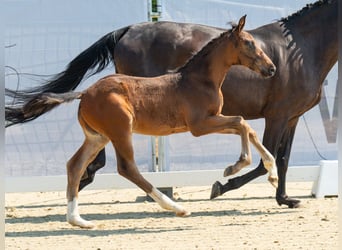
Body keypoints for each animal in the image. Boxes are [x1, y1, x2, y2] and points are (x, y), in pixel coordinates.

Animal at [5, 0, 336, 208]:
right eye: (248, 44)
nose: (271, 69)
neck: (303, 49)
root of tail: (126, 30)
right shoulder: (273, 116)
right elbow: (262, 155)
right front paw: (223, 184)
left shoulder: (291, 117)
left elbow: (282, 157)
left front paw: (285, 198)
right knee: (107, 158)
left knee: (95, 153)